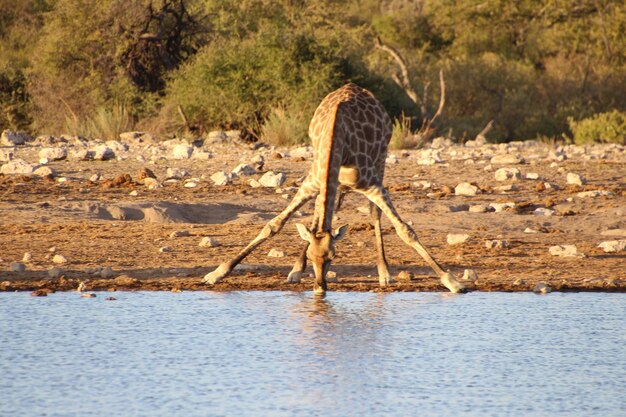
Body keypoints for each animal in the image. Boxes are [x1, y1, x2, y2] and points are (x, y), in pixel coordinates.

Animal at [202, 83, 466, 292]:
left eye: (334, 257)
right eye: (312, 256)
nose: (320, 287)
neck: (337, 139)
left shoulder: (371, 184)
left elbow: (405, 230)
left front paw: (452, 281)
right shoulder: (312, 182)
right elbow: (274, 225)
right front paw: (216, 273)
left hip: (380, 161)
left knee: (374, 213)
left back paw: (384, 273)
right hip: (334, 181)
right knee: (321, 215)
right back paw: (295, 270)